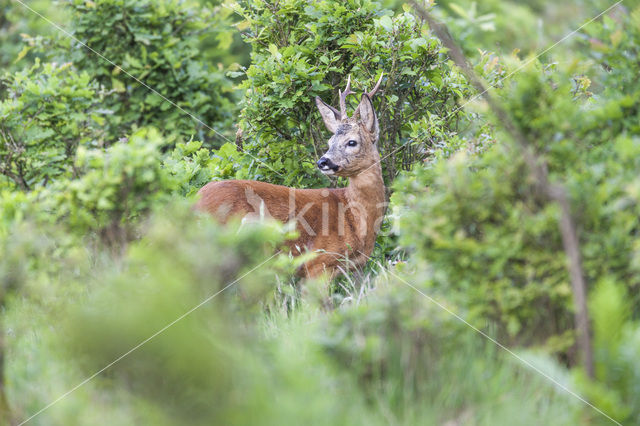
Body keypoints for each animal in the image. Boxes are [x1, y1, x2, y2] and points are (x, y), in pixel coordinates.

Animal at [194, 75, 384, 278]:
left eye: (352, 142)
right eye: (330, 141)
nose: (322, 161)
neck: (354, 218)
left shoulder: (356, 269)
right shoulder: (318, 262)